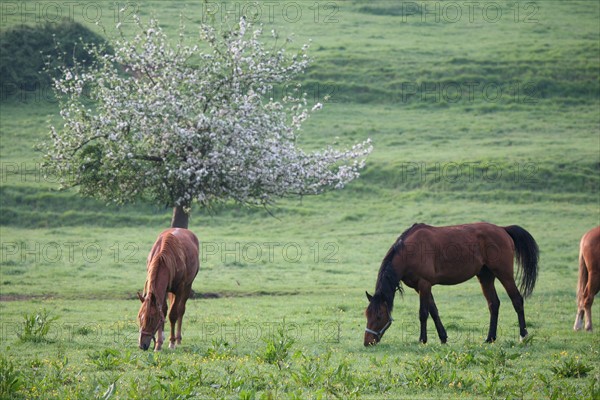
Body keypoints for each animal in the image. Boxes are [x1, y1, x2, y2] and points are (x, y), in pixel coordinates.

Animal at [364, 222, 540, 346]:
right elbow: (434, 311)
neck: (409, 251)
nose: (367, 342)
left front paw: (422, 340)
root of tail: (503, 229)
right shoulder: (421, 287)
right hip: (485, 276)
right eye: (367, 314)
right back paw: (490, 338)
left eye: (379, 316)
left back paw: (523, 336)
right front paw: (443, 338)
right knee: (494, 304)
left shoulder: (424, 284)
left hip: (504, 274)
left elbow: (423, 313)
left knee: (517, 300)